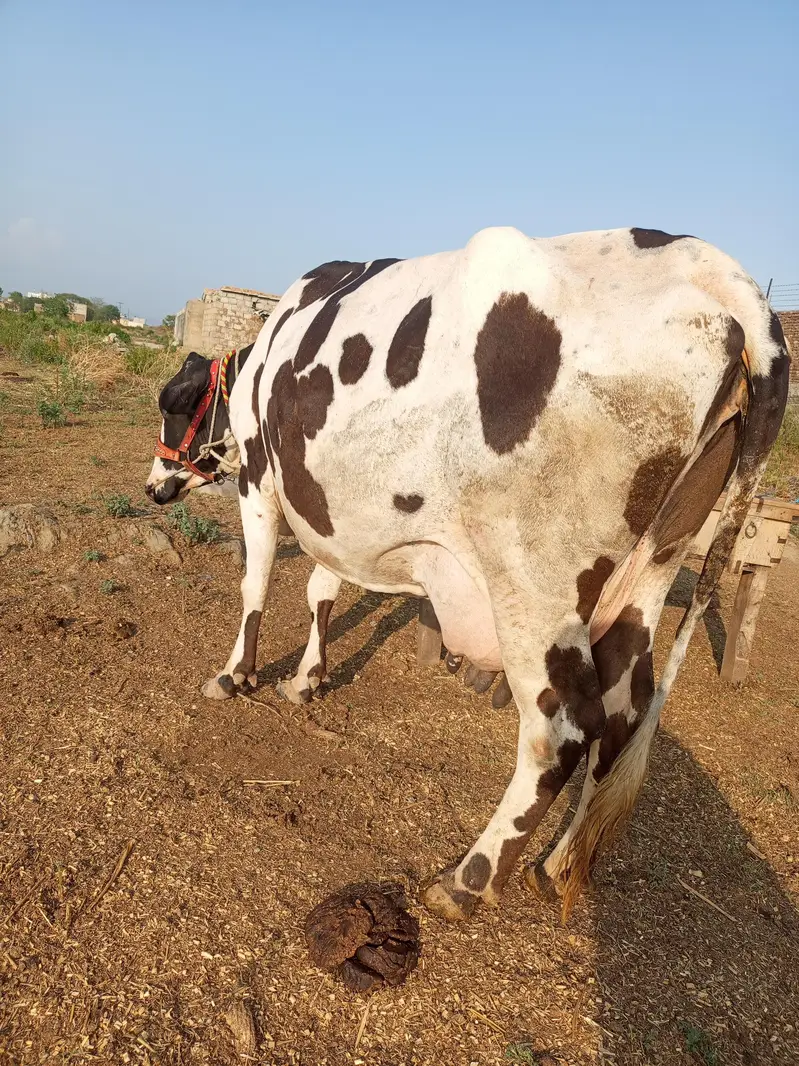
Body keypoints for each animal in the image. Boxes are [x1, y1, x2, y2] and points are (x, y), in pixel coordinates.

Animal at [146, 226, 789, 921]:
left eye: (174, 406)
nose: (153, 487)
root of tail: (719, 274)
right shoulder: (323, 503)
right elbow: (323, 587)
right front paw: (307, 679)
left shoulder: (261, 476)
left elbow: (257, 581)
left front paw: (235, 676)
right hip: (648, 572)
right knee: (622, 714)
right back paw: (554, 866)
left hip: (534, 583)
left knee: (563, 728)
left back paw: (469, 879)